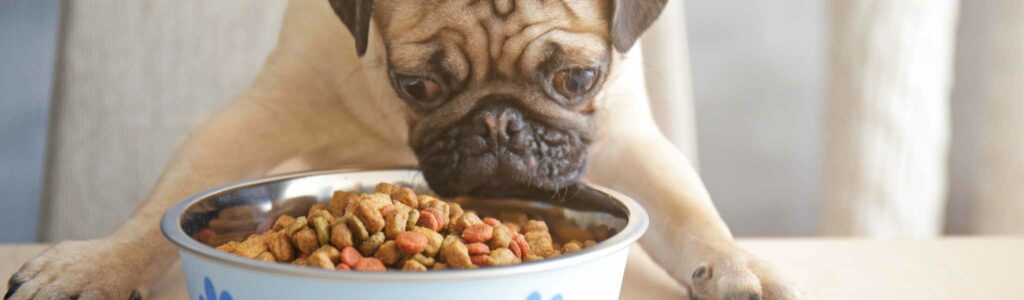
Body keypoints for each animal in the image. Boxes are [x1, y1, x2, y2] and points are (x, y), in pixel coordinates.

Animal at [9, 0, 806, 298]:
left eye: (576, 78)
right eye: (416, 84)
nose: (498, 126)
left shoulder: (628, 135)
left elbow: (690, 212)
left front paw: (736, 266)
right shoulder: (260, 114)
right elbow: (159, 208)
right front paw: (92, 266)